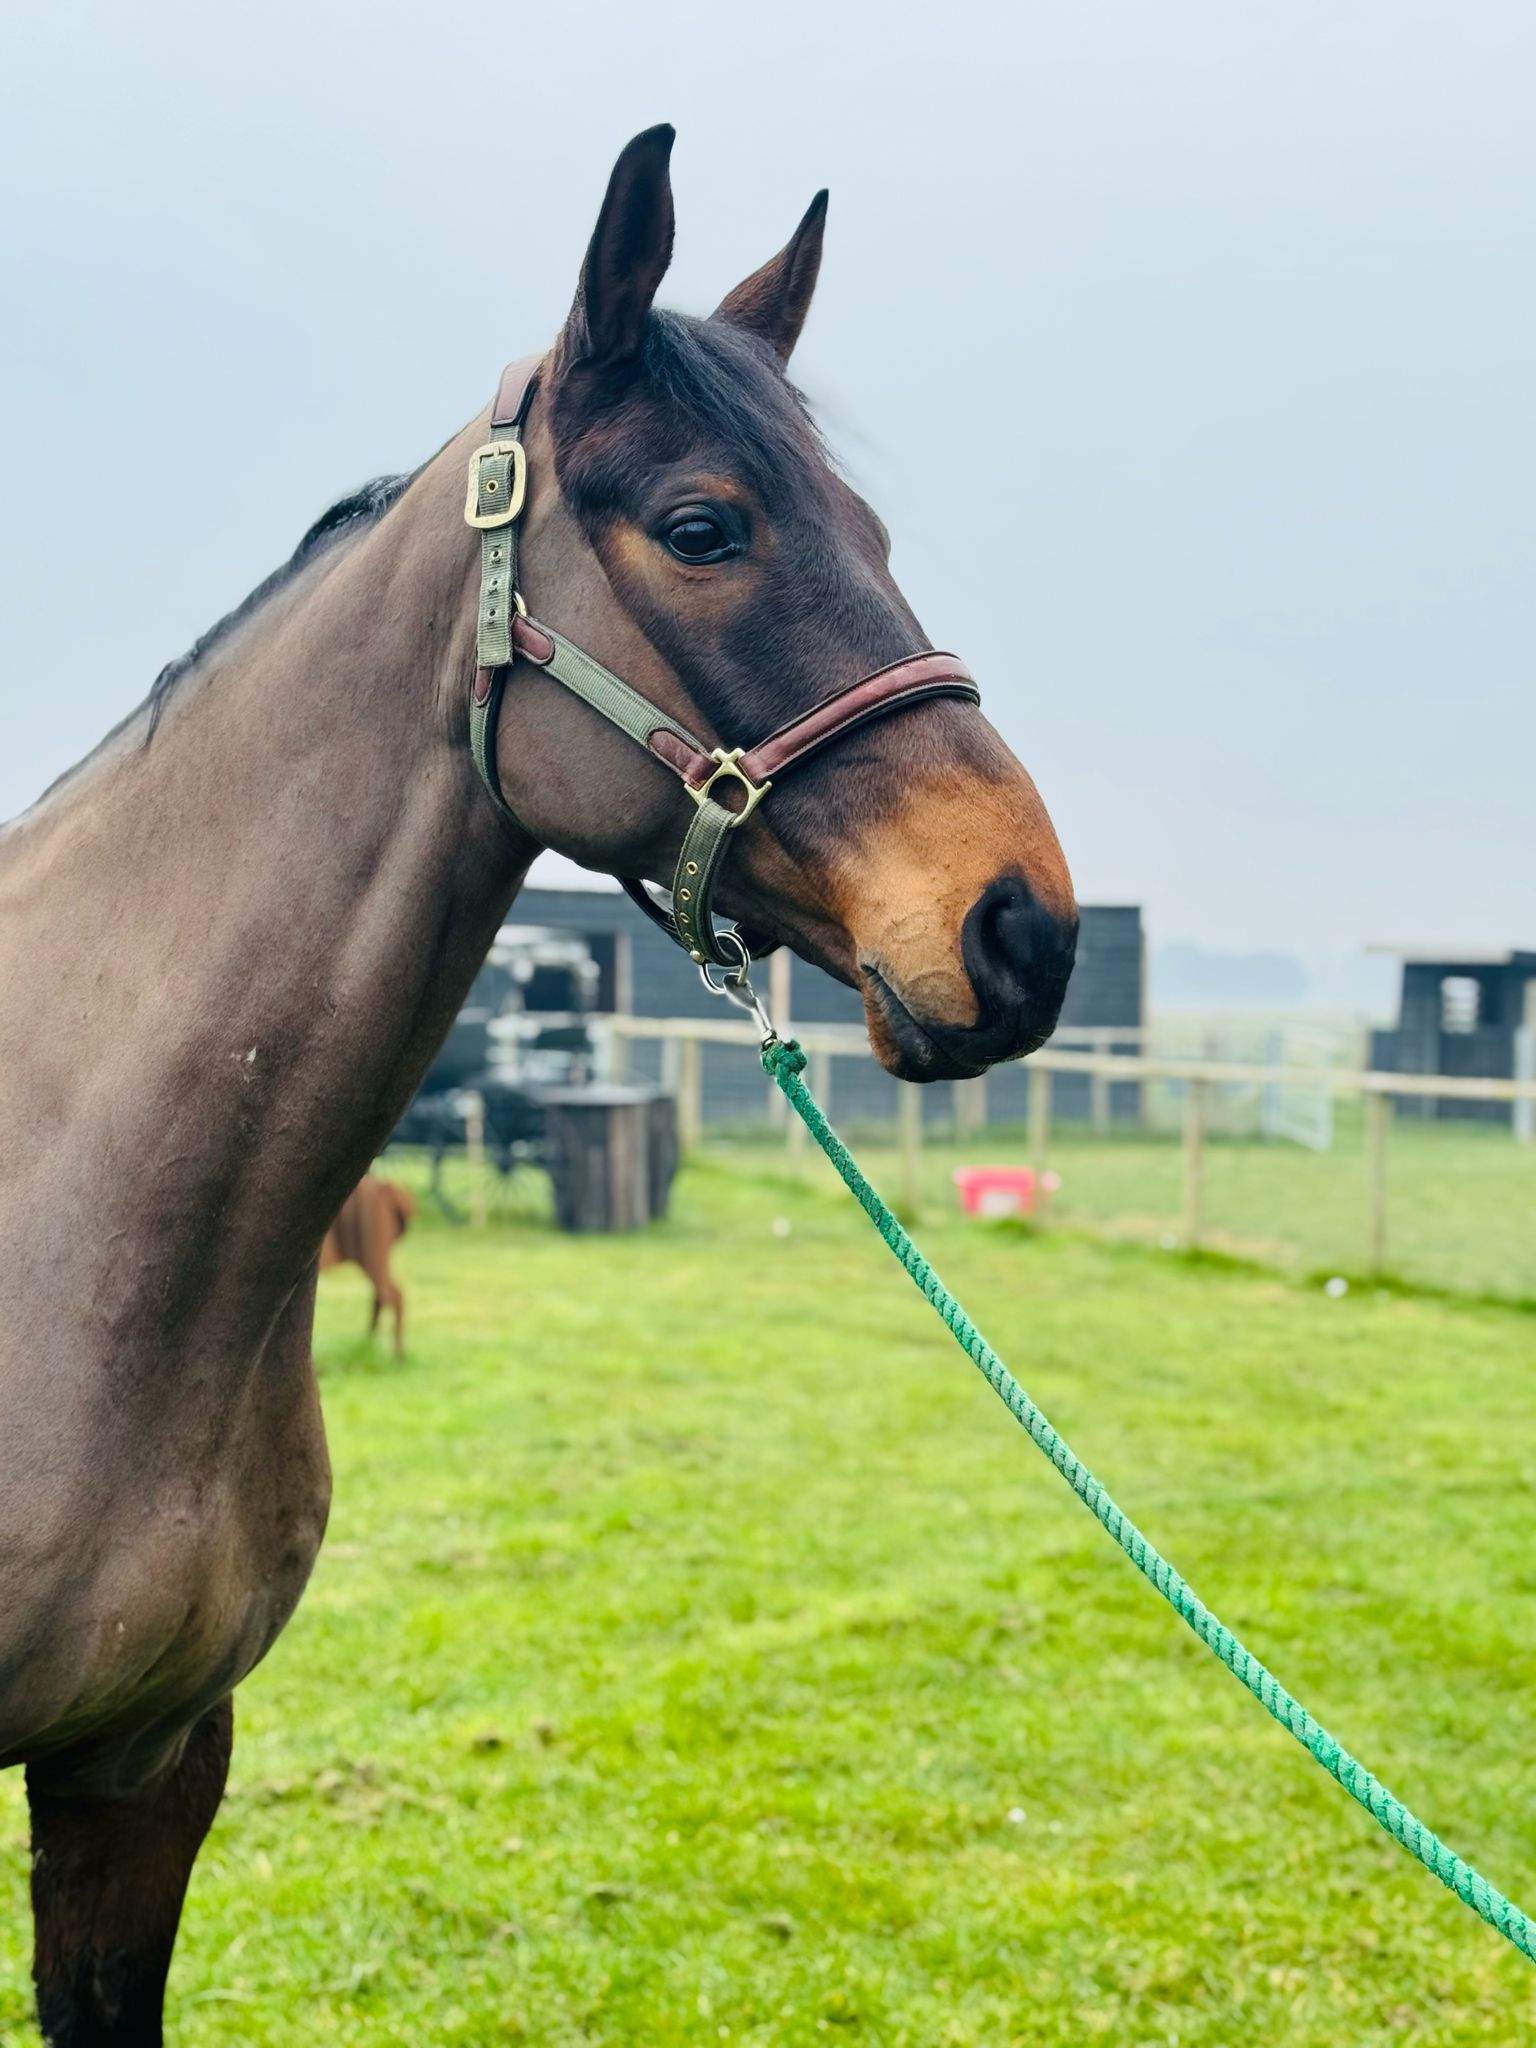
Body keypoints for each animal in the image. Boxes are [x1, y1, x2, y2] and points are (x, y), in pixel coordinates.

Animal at [318, 1176, 416, 1357]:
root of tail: (385, 1188)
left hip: (372, 1254)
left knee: (391, 1294)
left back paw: (396, 1354)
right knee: (381, 1295)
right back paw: (369, 1343)